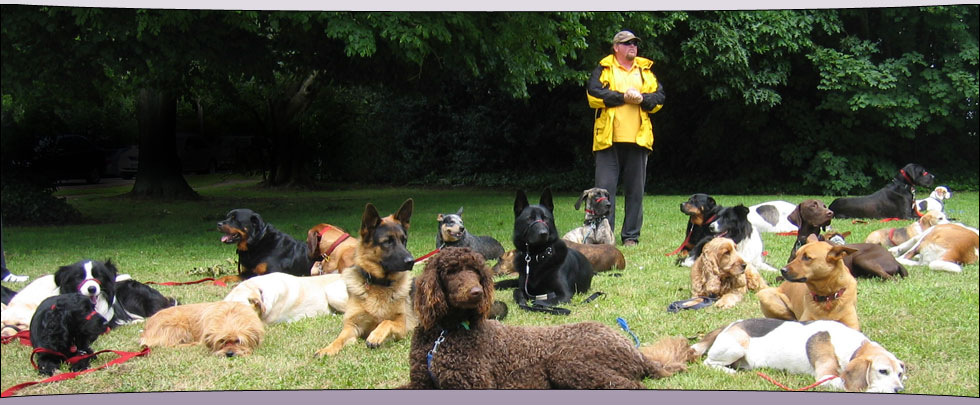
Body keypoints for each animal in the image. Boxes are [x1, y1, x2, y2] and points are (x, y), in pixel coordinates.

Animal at [316, 199, 416, 356]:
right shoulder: (352, 325)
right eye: (387, 241)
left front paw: (375, 336)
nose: (411, 261)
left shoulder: (402, 326)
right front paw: (327, 349)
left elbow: (386, 322)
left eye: (403, 240)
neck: (379, 284)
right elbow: (339, 339)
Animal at [692, 318, 908, 392]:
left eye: (899, 373)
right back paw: (729, 372)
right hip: (736, 347)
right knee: (708, 363)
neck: (851, 347)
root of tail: (729, 325)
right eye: (882, 371)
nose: (900, 390)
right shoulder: (825, 377)